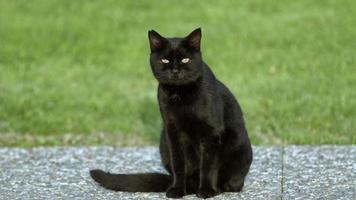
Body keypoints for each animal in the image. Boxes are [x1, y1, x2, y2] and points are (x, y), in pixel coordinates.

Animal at [92, 28, 253, 198]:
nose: (175, 71)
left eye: (185, 60)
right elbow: (178, 164)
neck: (180, 94)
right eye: (164, 61)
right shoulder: (173, 132)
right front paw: (177, 190)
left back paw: (218, 187)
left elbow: (208, 165)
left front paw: (206, 190)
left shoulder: (211, 133)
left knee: (233, 182)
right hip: (163, 143)